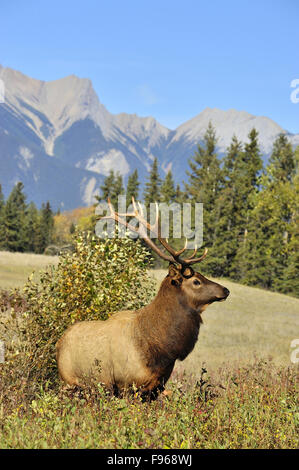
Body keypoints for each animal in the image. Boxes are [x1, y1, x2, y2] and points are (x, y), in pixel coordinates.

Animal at [55, 198, 230, 396]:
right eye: (196, 281)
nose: (225, 290)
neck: (160, 350)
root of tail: (58, 343)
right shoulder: (126, 384)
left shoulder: (156, 387)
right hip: (69, 382)